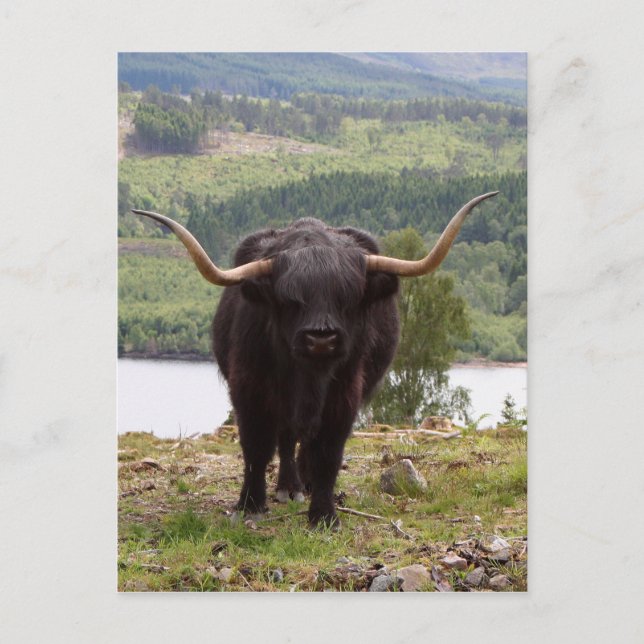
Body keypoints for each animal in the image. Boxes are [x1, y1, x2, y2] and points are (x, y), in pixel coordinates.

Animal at [133, 191, 497, 527]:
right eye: (289, 299)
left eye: (348, 296)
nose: (321, 337)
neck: (308, 377)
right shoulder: (249, 388)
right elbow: (255, 447)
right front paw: (250, 505)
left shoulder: (345, 394)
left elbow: (328, 453)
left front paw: (323, 515)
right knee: (285, 438)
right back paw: (288, 487)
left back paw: (303, 486)